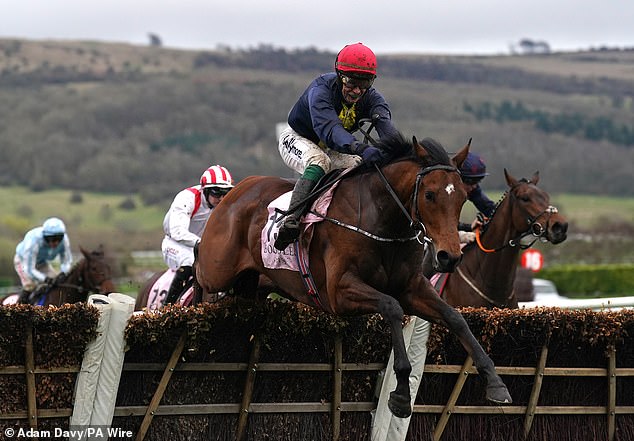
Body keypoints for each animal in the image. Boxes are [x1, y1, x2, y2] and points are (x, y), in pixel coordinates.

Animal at [195, 134, 512, 416]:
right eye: (429, 194)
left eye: (462, 197)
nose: (449, 257)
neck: (383, 221)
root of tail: (238, 190)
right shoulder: (339, 292)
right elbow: (391, 307)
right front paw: (400, 393)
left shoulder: (411, 288)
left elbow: (455, 317)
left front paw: (495, 382)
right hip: (216, 271)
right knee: (200, 272)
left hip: (251, 288)